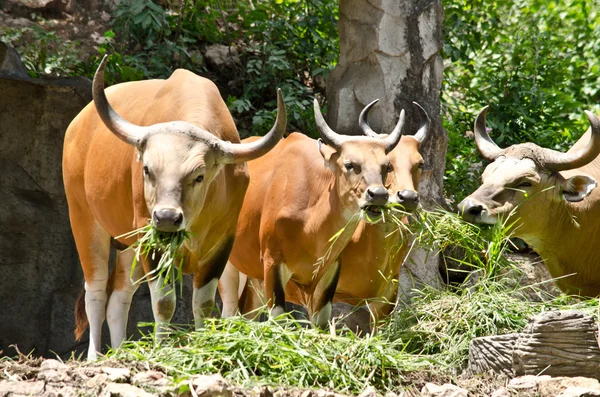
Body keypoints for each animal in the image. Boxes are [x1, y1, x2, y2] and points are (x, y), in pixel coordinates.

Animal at [62, 56, 288, 358]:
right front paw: (162, 347)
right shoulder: (152, 239)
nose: (167, 217)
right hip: (84, 217)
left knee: (119, 298)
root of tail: (78, 125)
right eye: (147, 169)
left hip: (129, 243)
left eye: (199, 176)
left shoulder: (222, 241)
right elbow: (164, 302)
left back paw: (120, 351)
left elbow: (203, 303)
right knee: (95, 292)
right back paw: (95, 356)